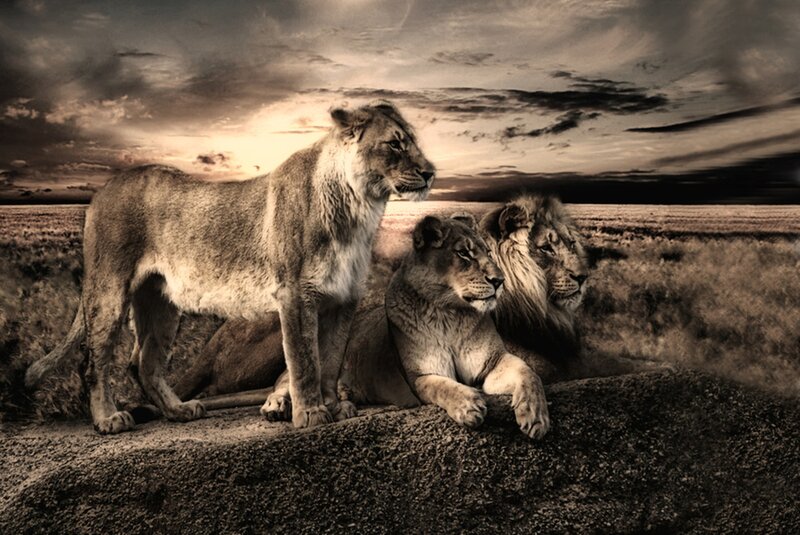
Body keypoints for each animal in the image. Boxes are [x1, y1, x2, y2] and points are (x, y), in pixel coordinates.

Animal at [24, 100, 435, 434]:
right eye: (395, 144)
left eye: (414, 141)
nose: (431, 172)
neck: (358, 207)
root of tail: (101, 191)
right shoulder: (295, 294)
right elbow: (305, 361)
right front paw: (311, 414)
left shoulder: (343, 298)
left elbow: (331, 359)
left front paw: (335, 408)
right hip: (109, 288)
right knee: (94, 361)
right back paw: (109, 419)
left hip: (160, 301)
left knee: (143, 361)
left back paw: (179, 410)